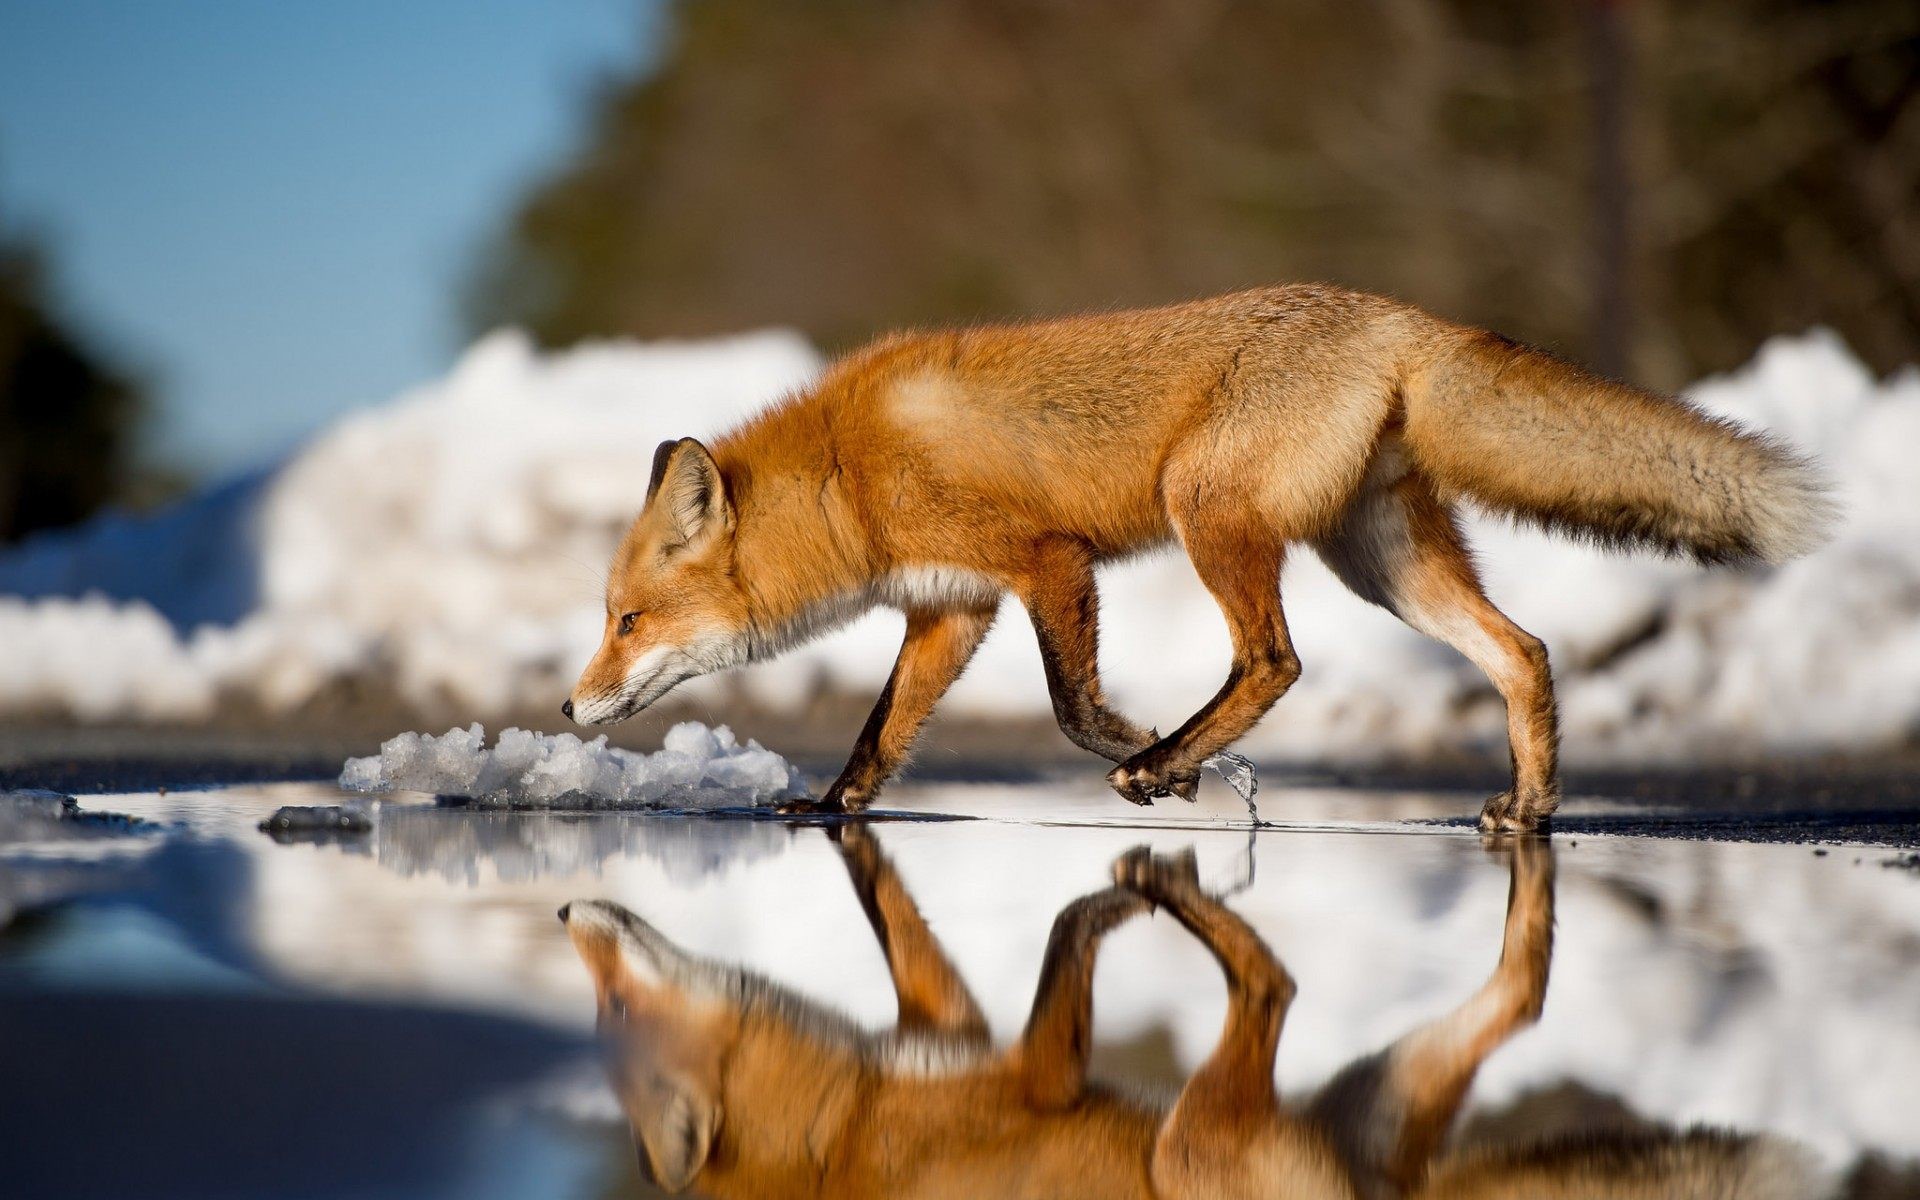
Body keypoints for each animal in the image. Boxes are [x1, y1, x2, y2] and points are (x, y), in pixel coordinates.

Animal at [559, 828, 1820, 1198]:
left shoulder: (1027, 1072)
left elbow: (1067, 963)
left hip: (1196, 1153)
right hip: (1355, 1103)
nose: (566, 906)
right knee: (1504, 1000)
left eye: (612, 1000)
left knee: (1276, 988)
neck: (844, 1136)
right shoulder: (960, 1031)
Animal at [564, 286, 1833, 829]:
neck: (847, 470)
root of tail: (1400, 316)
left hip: (1206, 510)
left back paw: (1172, 760)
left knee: (1275, 662)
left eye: (626, 621)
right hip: (1380, 563)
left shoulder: (1047, 561)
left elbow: (1073, 707)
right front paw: (830, 808)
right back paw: (1529, 810)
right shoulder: (951, 609)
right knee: (1522, 651)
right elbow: (881, 734)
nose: (571, 708)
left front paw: (1156, 754)